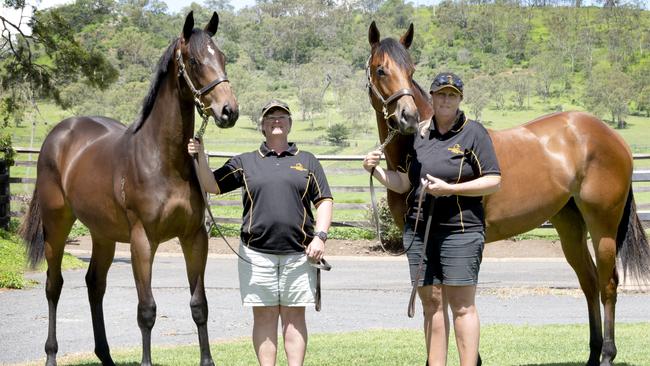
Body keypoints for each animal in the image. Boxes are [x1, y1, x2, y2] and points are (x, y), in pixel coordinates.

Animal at [20, 11, 238, 366]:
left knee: (95, 284)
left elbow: (199, 306)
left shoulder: (194, 238)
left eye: (222, 57)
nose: (228, 111)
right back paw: (51, 354)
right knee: (54, 285)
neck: (163, 160)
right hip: (57, 226)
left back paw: (105, 356)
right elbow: (146, 310)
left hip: (103, 234)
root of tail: (60, 134)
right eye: (194, 61)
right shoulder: (142, 241)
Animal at [368, 22, 648, 366]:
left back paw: (607, 354)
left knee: (608, 283)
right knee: (589, 281)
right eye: (381, 69)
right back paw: (593, 354)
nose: (407, 117)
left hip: (603, 226)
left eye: (411, 70)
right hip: (570, 224)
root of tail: (613, 136)